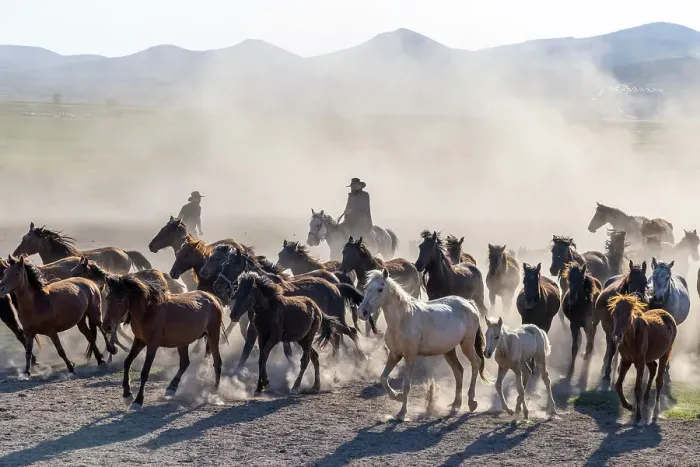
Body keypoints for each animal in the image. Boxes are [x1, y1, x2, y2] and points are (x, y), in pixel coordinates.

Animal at [102, 275, 223, 408]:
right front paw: (127, 395)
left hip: (213, 336)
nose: (106, 326)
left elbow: (145, 372)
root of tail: (212, 298)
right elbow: (127, 362)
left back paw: (214, 393)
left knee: (217, 362)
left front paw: (138, 400)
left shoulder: (152, 345)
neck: (148, 311)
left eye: (119, 300)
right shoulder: (139, 341)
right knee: (185, 363)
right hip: (182, 342)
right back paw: (171, 388)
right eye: (107, 298)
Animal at [358, 268, 488, 420]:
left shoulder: (410, 356)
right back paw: (456, 404)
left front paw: (402, 412)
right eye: (367, 288)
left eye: (380, 289)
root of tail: (468, 303)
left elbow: (406, 385)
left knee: (476, 364)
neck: (402, 319)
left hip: (467, 344)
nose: (362, 312)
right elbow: (383, 378)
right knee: (459, 371)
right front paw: (396, 396)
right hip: (449, 350)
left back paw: (471, 402)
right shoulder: (394, 355)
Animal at [608, 294, 677, 422]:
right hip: (648, 358)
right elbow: (618, 385)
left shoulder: (640, 363)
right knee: (653, 368)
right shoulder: (626, 361)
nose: (616, 336)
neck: (631, 337)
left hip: (665, 354)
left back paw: (655, 409)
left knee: (659, 380)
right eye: (614, 313)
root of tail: (667, 314)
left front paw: (638, 415)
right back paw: (645, 400)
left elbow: (638, 388)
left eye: (628, 314)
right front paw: (629, 406)